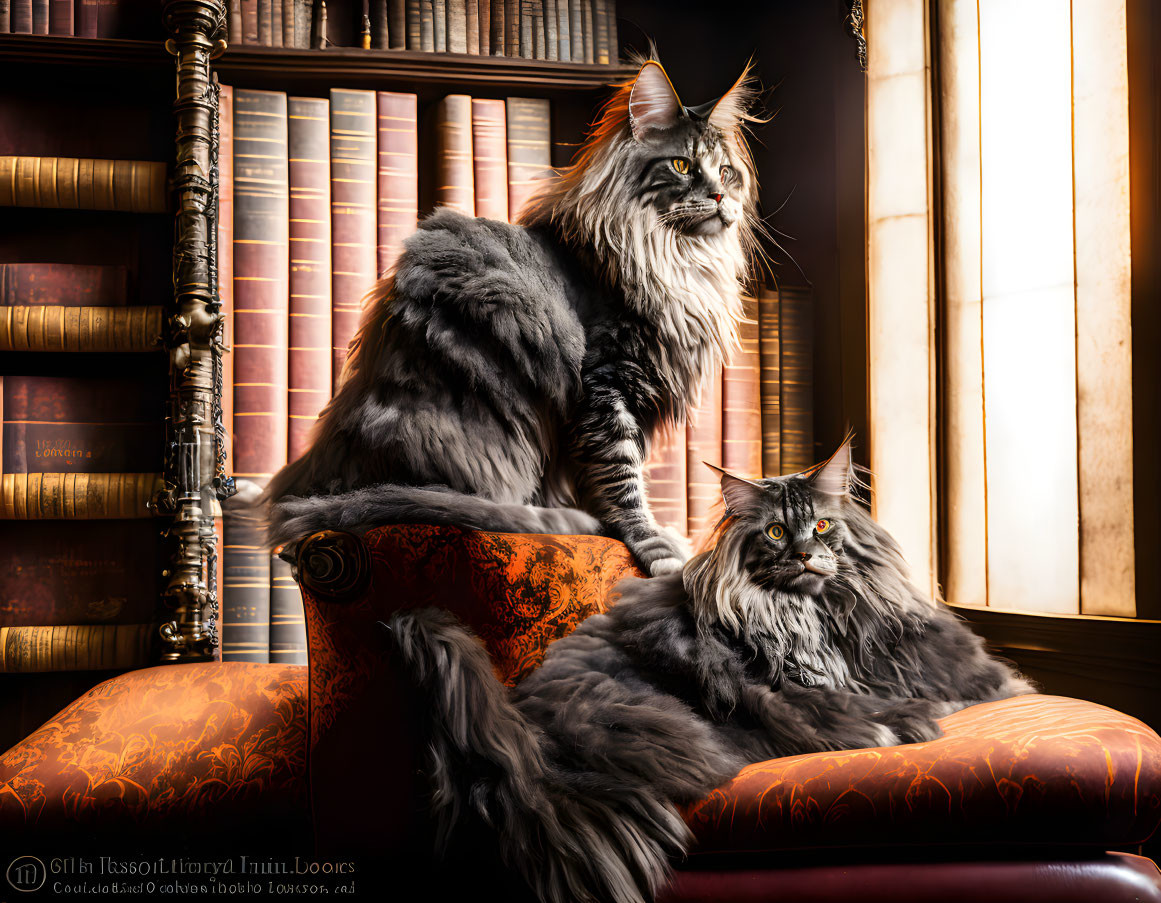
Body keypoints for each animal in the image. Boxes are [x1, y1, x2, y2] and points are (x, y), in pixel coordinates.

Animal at [385, 438, 1030, 900]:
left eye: (822, 526)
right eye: (776, 531)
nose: (804, 554)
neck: (806, 619)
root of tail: (514, 735)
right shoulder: (786, 690)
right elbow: (843, 704)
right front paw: (910, 718)